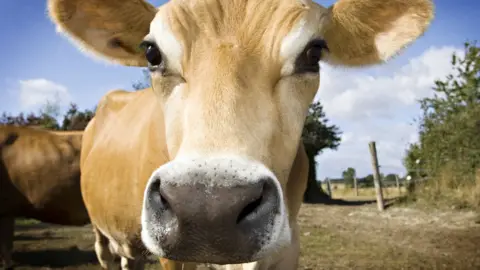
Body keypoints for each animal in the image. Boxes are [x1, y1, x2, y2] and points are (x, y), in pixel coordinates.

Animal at [47, 0, 434, 268]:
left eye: (313, 53)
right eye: (152, 53)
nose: (208, 208)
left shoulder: (286, 248)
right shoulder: (173, 257)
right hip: (103, 236)